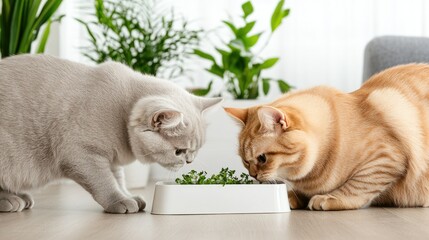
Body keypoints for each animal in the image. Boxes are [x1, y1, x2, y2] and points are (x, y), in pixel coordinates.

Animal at [0, 54, 221, 214]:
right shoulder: (82, 155)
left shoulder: (112, 162)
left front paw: (129, 197)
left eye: (196, 150)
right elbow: (104, 182)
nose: (189, 161)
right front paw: (120, 201)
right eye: (179, 151)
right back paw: (10, 200)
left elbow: (118, 180)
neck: (121, 113)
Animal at [222, 63, 428, 210]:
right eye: (245, 161)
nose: (253, 175)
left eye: (262, 158)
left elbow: (359, 185)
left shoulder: (386, 158)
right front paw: (292, 197)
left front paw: (329, 197)